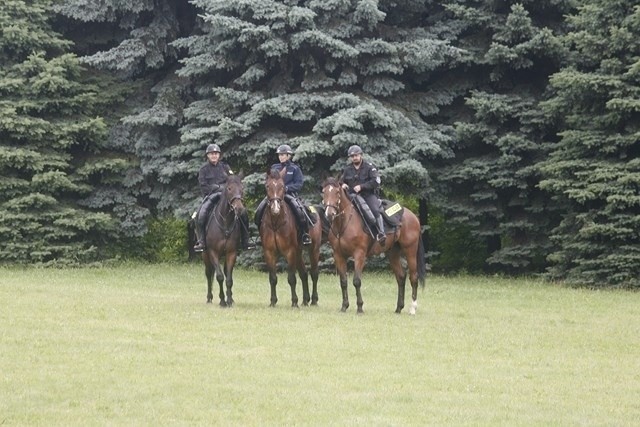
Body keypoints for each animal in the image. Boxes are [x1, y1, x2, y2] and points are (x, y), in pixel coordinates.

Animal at [202, 175, 248, 308]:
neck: (225, 222)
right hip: (205, 255)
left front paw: (229, 300)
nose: (239, 208)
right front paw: (222, 300)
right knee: (209, 274)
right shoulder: (213, 253)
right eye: (229, 188)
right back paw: (209, 298)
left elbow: (229, 279)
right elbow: (219, 276)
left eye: (242, 188)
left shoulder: (231, 253)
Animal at [258, 170, 322, 308]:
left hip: (313, 250)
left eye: (282, 186)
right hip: (298, 253)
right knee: (304, 273)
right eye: (267, 186)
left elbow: (291, 278)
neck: (276, 223)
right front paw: (273, 301)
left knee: (314, 273)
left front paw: (294, 302)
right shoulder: (269, 253)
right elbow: (273, 278)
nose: (275, 209)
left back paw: (314, 300)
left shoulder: (290, 252)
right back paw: (305, 300)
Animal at [318, 177, 424, 314]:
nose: (329, 214)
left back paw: (412, 308)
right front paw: (344, 306)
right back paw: (399, 308)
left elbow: (356, 281)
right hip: (393, 253)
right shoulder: (338, 255)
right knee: (401, 277)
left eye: (337, 192)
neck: (344, 223)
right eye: (324, 192)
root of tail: (413, 217)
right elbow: (343, 282)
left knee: (414, 277)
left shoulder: (359, 254)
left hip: (410, 251)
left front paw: (359, 307)